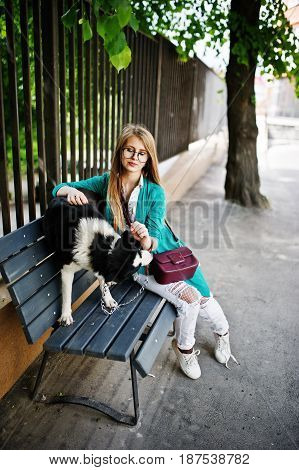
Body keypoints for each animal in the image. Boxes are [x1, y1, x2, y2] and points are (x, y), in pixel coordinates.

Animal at [44, 193, 152, 324]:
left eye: (138, 251)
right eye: (136, 268)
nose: (151, 255)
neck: (99, 244)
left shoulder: (101, 266)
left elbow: (103, 281)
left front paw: (108, 298)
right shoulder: (67, 269)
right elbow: (67, 293)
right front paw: (65, 315)